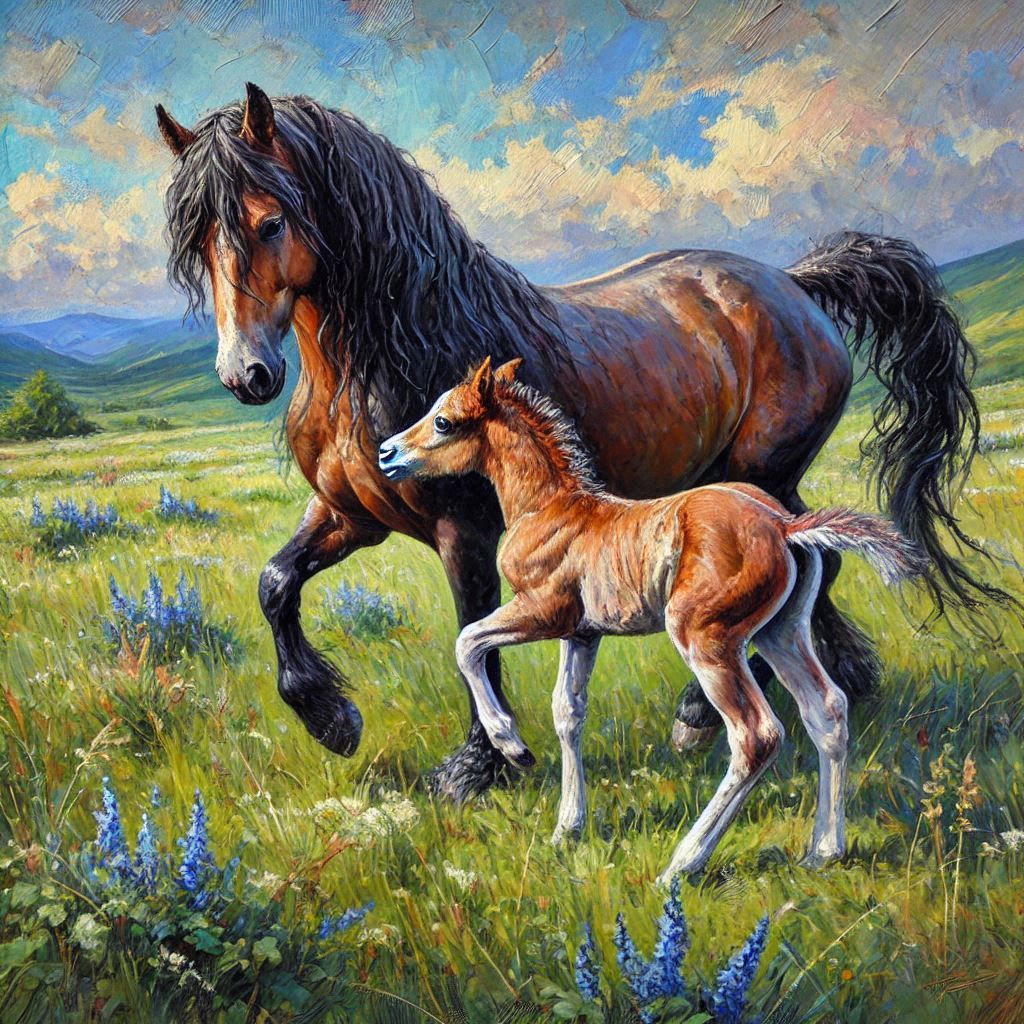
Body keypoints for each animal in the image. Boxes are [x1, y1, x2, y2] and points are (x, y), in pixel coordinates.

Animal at [155, 83, 1002, 802]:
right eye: (197, 242)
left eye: (269, 222)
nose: (247, 375)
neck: (384, 355)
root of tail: (794, 285)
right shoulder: (348, 516)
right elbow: (275, 584)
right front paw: (332, 720)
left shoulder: (464, 529)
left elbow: (473, 635)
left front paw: (477, 768)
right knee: (812, 569)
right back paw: (838, 680)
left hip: (761, 473)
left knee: (798, 570)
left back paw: (700, 716)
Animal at [378, 357, 927, 876]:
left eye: (444, 421)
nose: (386, 453)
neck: (548, 508)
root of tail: (782, 525)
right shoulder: (582, 634)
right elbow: (567, 712)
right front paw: (567, 829)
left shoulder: (543, 611)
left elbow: (468, 642)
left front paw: (513, 746)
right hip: (781, 632)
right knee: (826, 709)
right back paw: (823, 852)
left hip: (706, 639)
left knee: (757, 735)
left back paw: (684, 863)